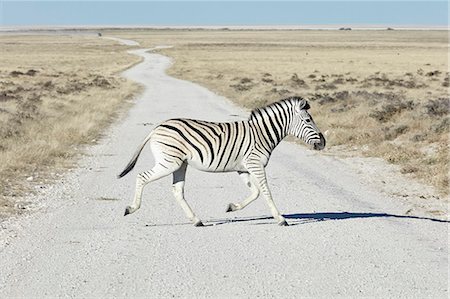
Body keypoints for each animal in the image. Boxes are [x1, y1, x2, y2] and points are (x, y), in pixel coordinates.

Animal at [118, 97, 326, 226]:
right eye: (308, 120)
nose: (323, 143)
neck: (261, 134)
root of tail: (156, 128)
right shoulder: (255, 164)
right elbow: (266, 192)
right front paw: (281, 219)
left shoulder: (243, 168)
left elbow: (255, 192)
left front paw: (232, 207)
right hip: (169, 162)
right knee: (142, 176)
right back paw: (131, 208)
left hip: (180, 164)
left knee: (177, 190)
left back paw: (196, 221)